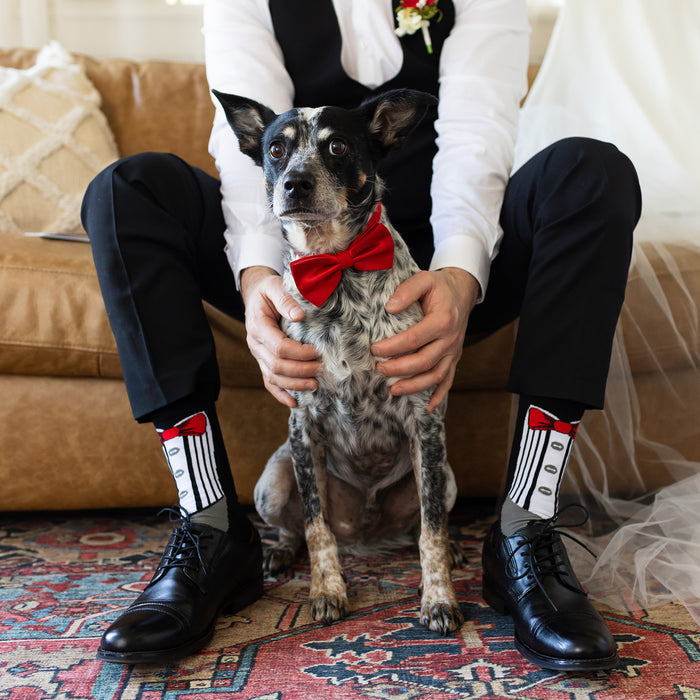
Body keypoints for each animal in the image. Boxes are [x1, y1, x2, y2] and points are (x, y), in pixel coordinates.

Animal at [213, 87, 464, 636]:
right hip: (275, 477)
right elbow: (315, 526)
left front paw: (438, 598)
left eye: (338, 147)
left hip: (446, 475)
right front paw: (327, 591)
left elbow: (431, 533)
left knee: (426, 521)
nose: (296, 183)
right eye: (276, 149)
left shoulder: (424, 423)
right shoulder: (303, 426)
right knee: (297, 527)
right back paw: (278, 554)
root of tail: (365, 536)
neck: (337, 267)